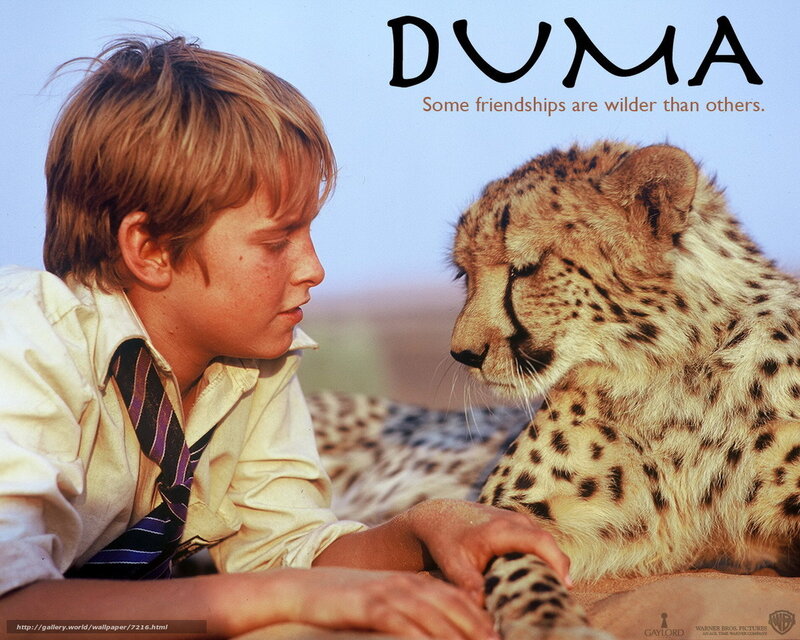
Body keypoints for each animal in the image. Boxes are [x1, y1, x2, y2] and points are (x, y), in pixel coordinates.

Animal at [445, 141, 800, 638]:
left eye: (526, 269)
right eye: (464, 274)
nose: (464, 353)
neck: (664, 365)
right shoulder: (510, 510)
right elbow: (515, 560)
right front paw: (550, 622)